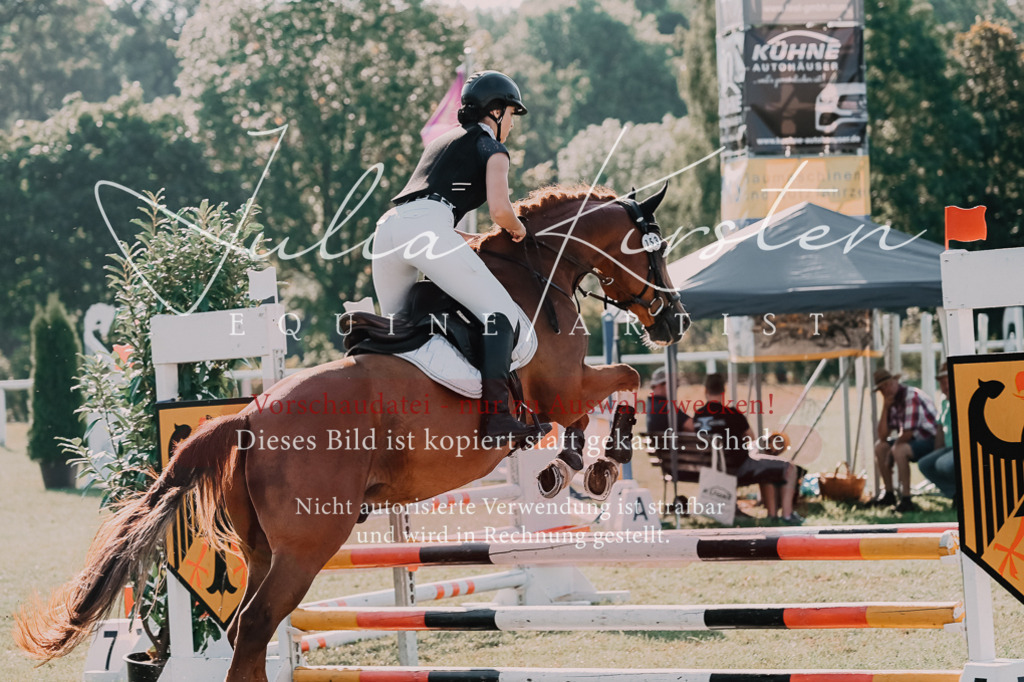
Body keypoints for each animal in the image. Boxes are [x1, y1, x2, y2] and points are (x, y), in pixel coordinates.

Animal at [14, 184, 688, 681]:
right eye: (653, 249)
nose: (675, 321)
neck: (537, 271)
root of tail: (249, 416)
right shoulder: (564, 386)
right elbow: (624, 380)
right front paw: (599, 463)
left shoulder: (562, 395)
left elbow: (588, 413)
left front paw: (566, 469)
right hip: (308, 546)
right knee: (255, 629)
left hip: (264, 549)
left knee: (245, 632)